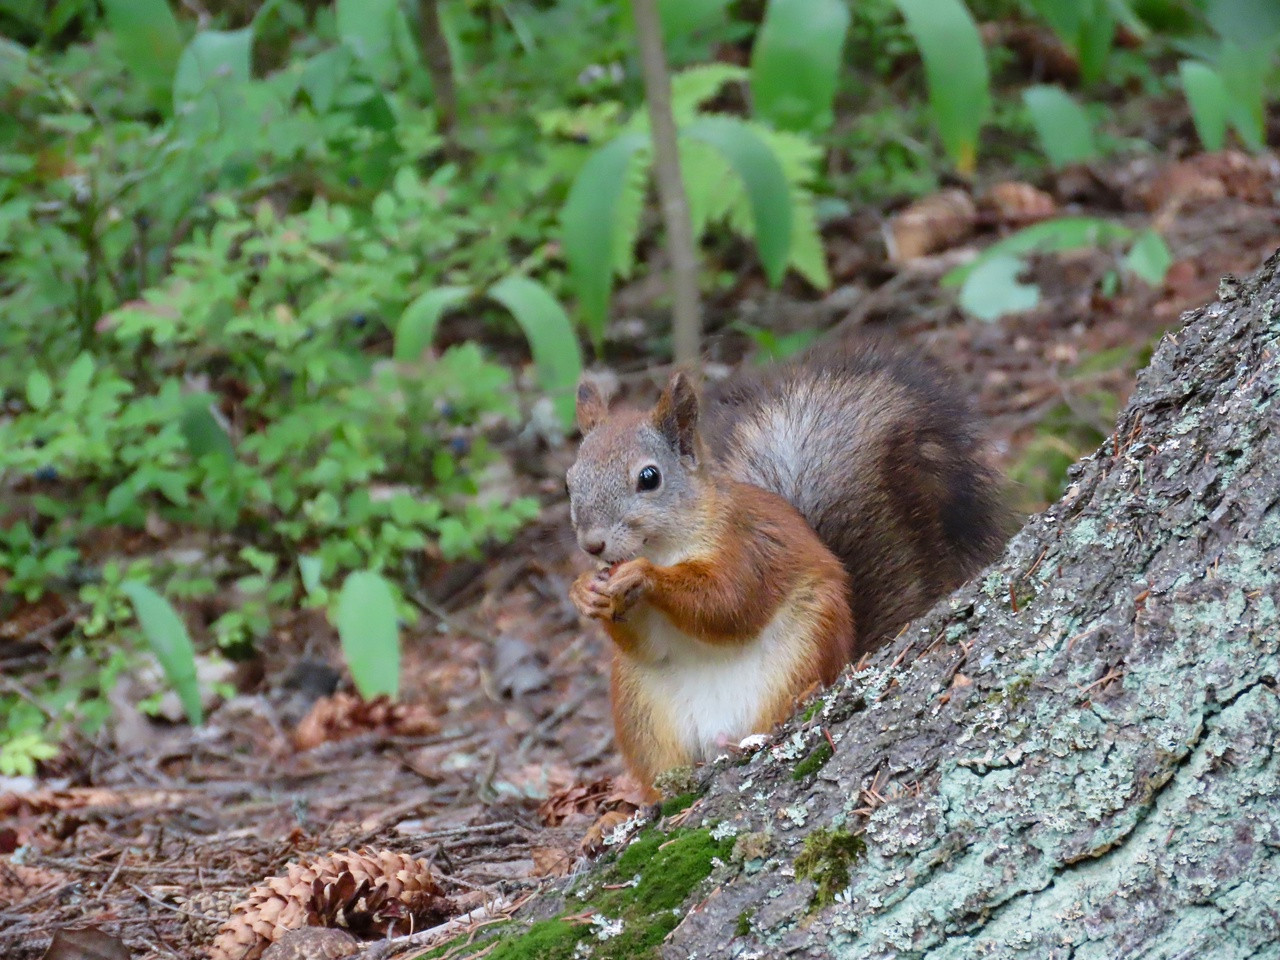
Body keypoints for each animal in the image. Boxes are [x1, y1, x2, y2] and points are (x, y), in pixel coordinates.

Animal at [568, 335, 1008, 798]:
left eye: (649, 478)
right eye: (570, 480)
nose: (593, 544)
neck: (663, 546)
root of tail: (718, 738)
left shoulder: (748, 547)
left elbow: (729, 604)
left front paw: (644, 577)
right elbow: (646, 642)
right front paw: (584, 590)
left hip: (805, 647)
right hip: (643, 710)